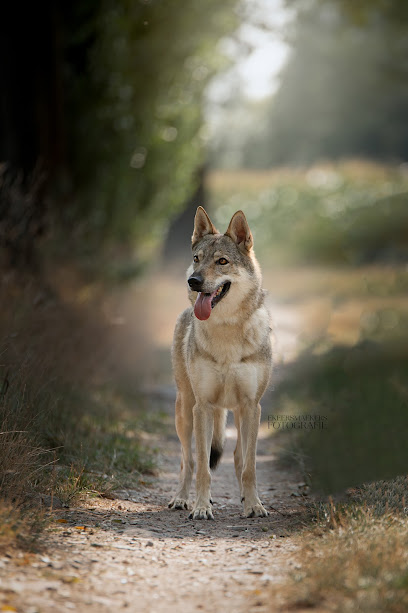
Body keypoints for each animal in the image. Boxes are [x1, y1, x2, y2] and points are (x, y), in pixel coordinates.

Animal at [167, 206, 272, 516]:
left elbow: (249, 467)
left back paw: (244, 499)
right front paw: (201, 507)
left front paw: (254, 505)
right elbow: (203, 466)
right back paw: (182, 499)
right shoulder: (203, 406)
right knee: (187, 460)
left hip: (236, 414)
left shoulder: (252, 406)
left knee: (237, 457)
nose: (193, 281)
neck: (226, 331)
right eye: (197, 259)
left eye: (222, 261)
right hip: (185, 411)